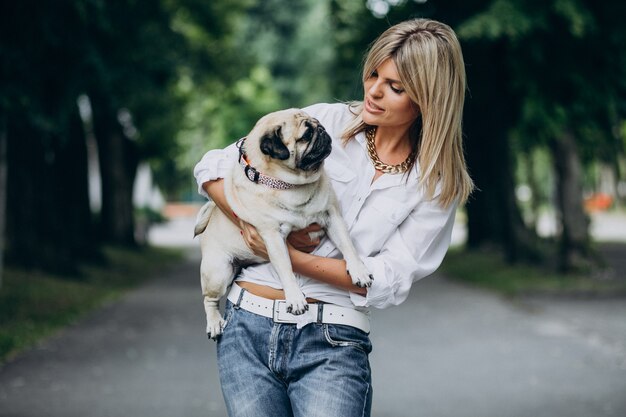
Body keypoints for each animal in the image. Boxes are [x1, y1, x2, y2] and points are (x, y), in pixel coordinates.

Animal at [193, 107, 372, 338]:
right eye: (306, 135)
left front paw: (359, 270)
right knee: (210, 300)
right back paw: (214, 323)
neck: (289, 185)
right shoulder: (272, 236)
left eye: (319, 124)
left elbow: (348, 246)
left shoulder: (332, 216)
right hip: (218, 271)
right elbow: (286, 268)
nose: (322, 131)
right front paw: (295, 299)